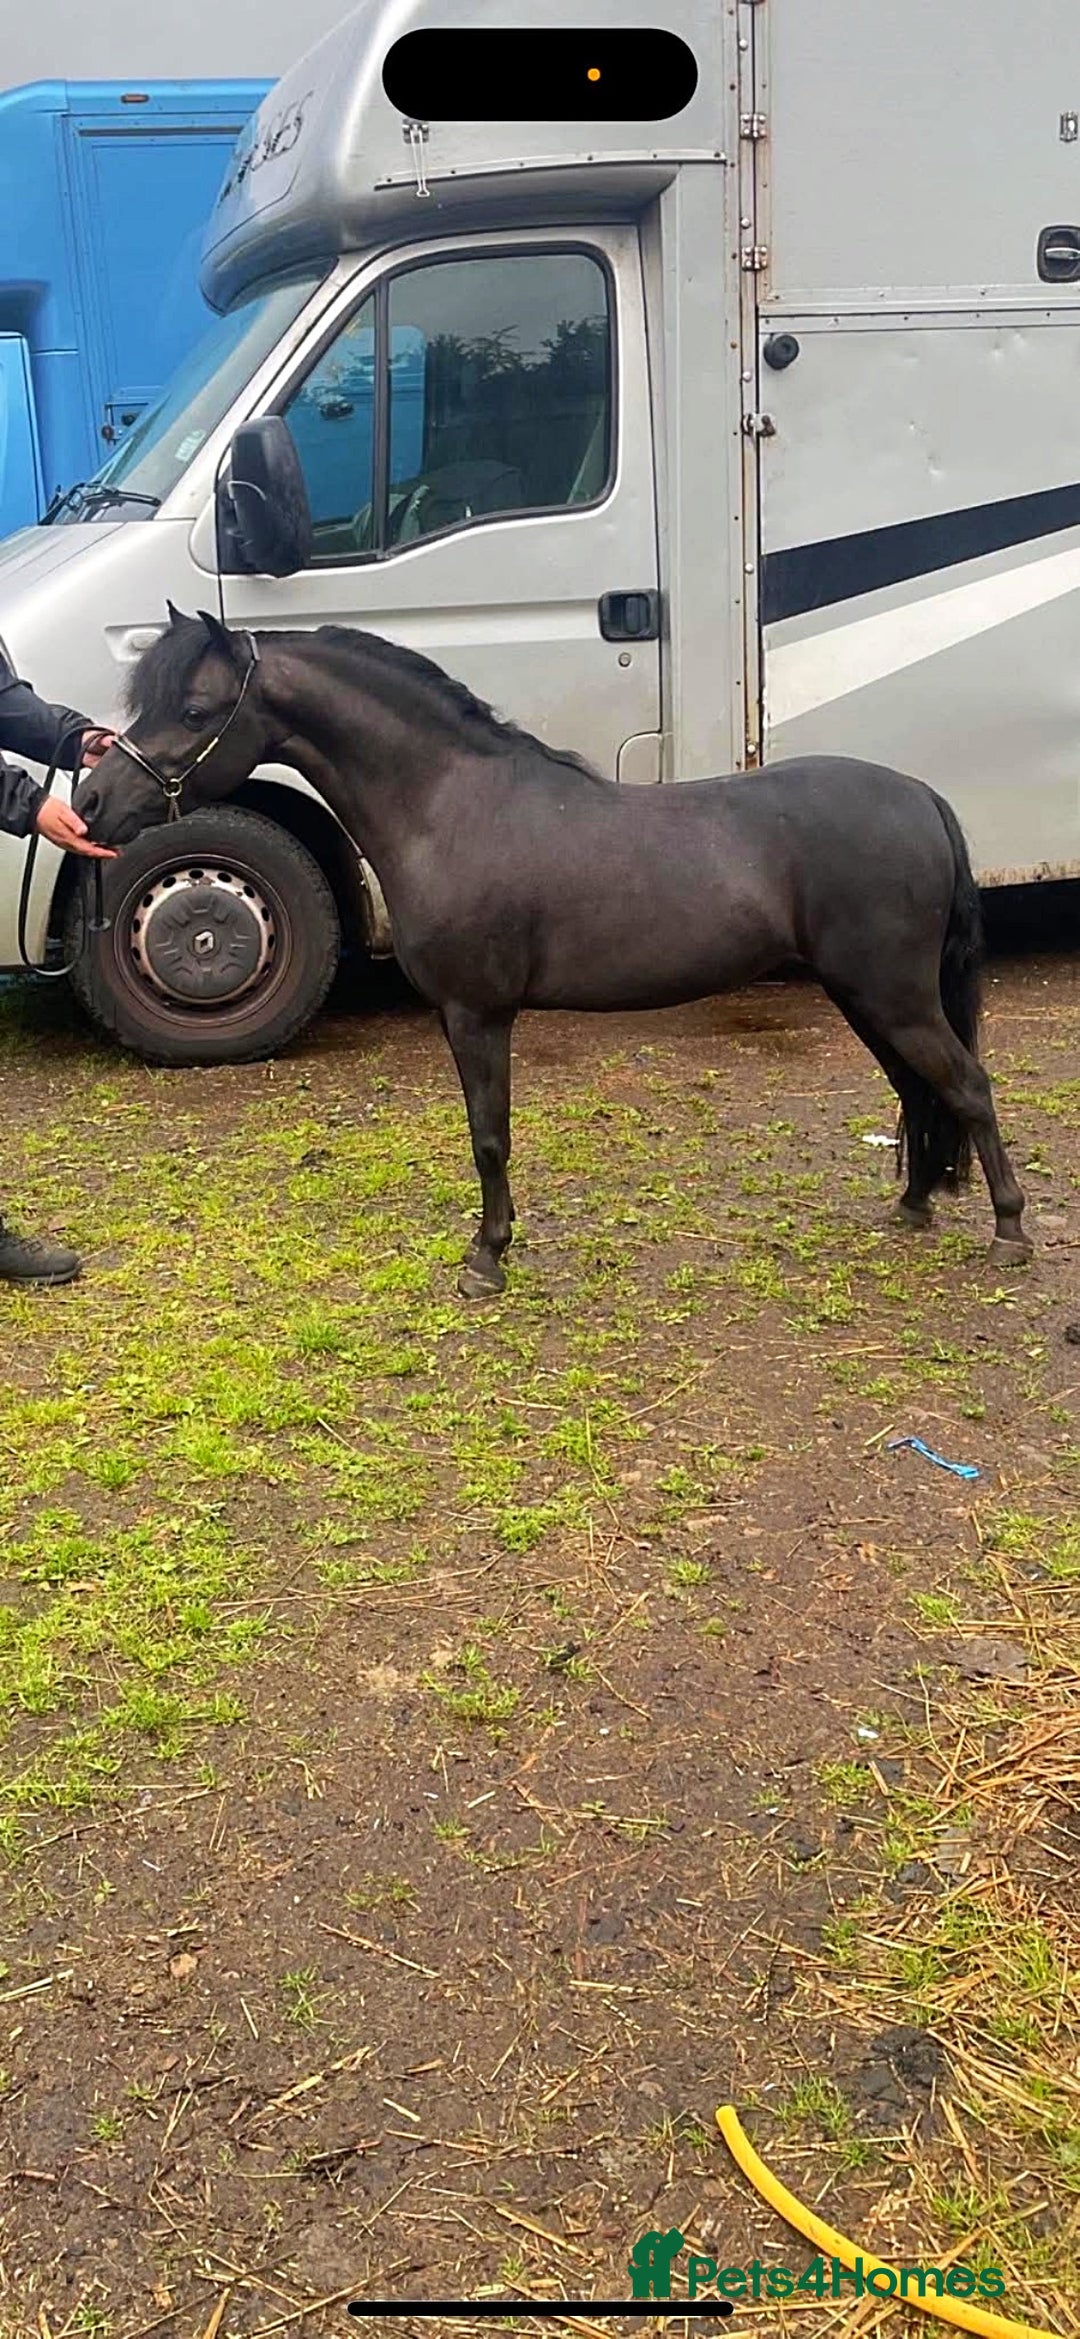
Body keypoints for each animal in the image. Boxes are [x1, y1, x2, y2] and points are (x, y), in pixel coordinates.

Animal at [72, 608, 1031, 1299]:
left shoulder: (477, 1012)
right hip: (867, 996)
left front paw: (486, 1257)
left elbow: (488, 1134)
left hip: (892, 995)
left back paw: (1011, 1230)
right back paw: (913, 1206)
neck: (446, 804)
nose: (90, 802)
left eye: (194, 710)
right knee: (919, 1090)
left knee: (966, 1085)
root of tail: (921, 795)